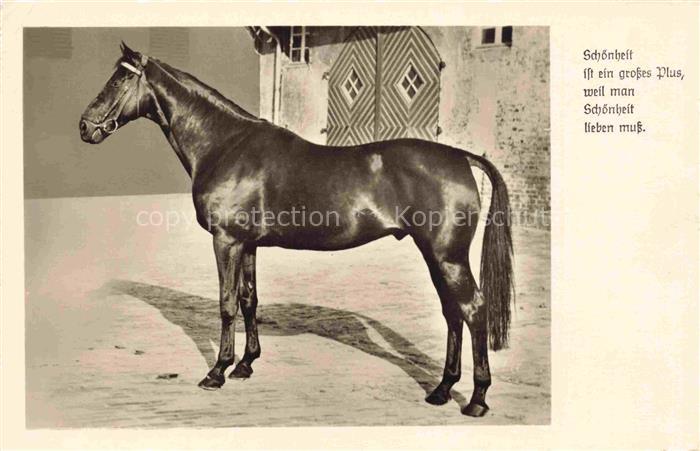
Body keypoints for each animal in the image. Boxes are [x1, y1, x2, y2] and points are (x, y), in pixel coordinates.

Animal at [79, 42, 513, 417]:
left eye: (119, 79)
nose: (85, 127)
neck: (226, 145)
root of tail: (460, 157)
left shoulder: (226, 241)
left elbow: (226, 304)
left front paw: (217, 372)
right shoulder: (248, 244)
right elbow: (249, 300)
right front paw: (246, 365)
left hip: (447, 257)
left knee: (473, 310)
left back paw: (476, 400)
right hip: (436, 256)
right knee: (452, 313)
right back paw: (441, 390)